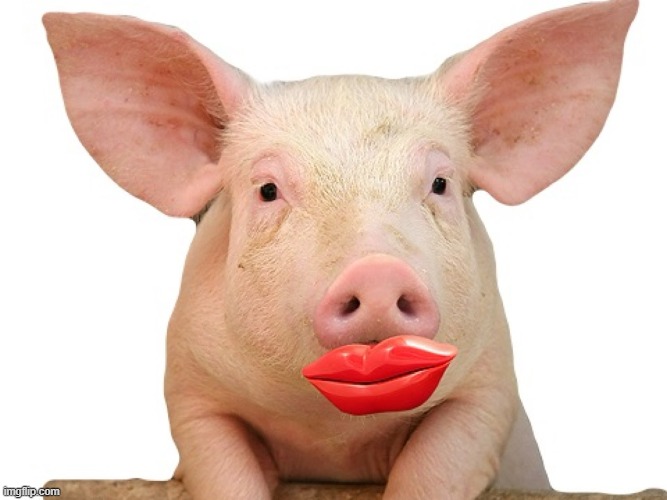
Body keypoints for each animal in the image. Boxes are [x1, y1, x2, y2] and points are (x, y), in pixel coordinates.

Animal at [42, 0, 637, 498]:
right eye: (268, 190)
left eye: (440, 183)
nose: (376, 272)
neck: (334, 436)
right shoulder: (191, 390)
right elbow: (223, 467)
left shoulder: (490, 387)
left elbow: (436, 465)